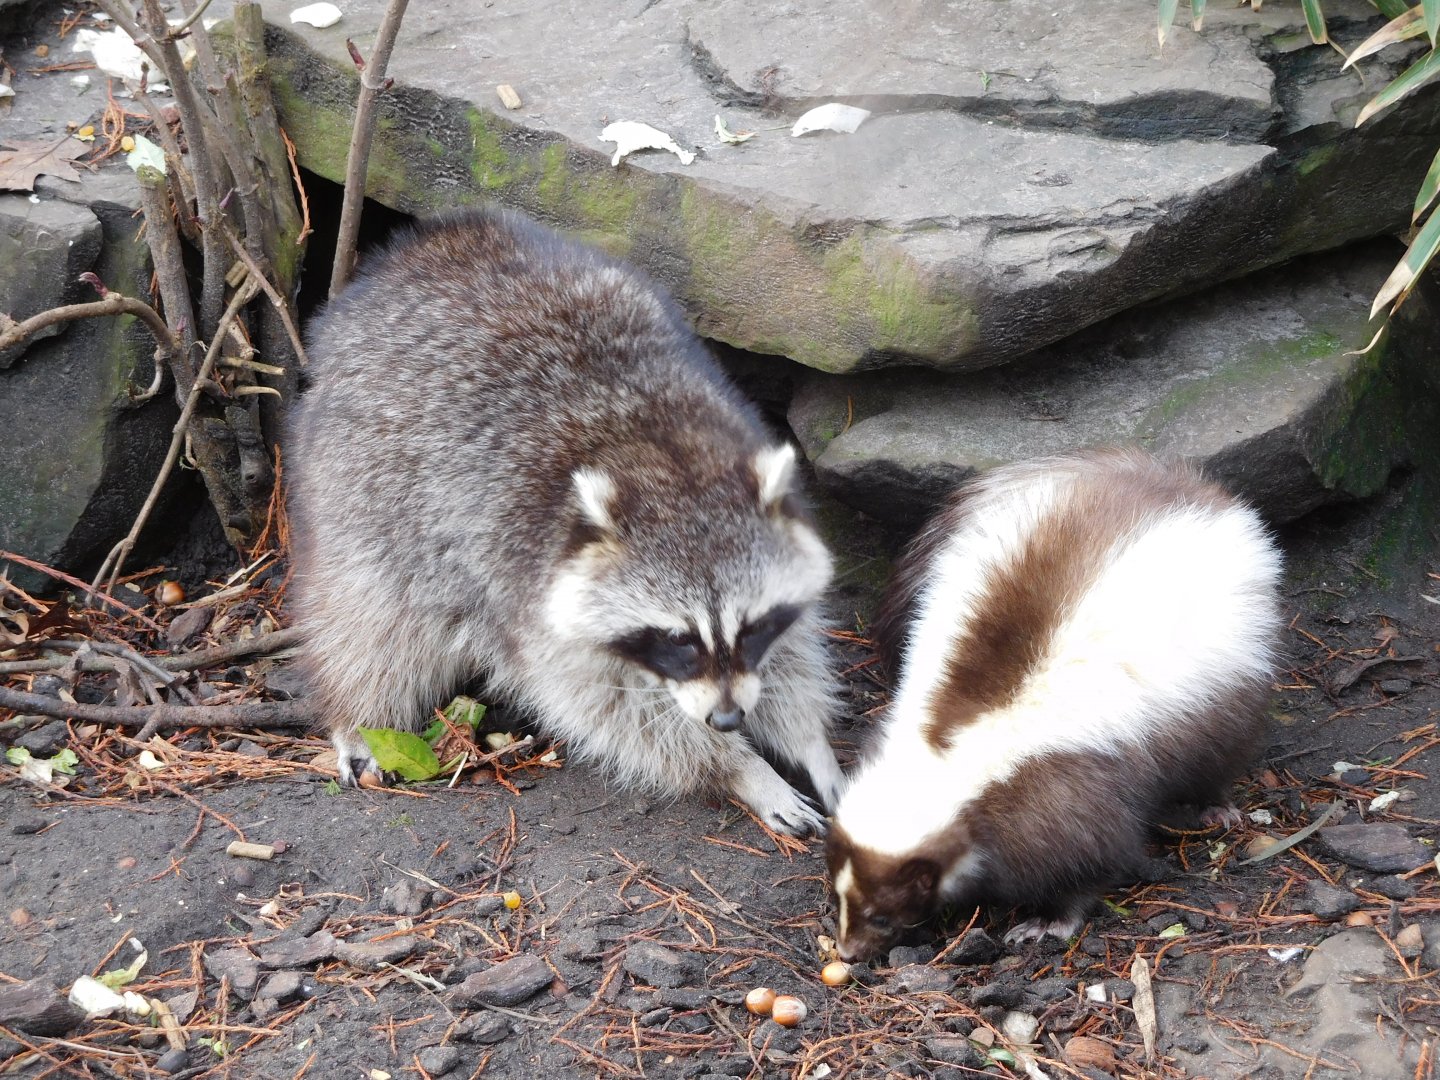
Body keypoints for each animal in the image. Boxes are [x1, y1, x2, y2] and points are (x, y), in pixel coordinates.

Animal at [286, 209, 843, 835]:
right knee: (373, 621)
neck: (661, 456)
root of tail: (414, 250)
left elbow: (791, 653)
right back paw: (359, 716)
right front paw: (741, 769)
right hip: (363, 481)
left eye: (750, 629)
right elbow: (610, 710)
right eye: (677, 638)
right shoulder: (526, 581)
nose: (726, 720)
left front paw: (811, 741)